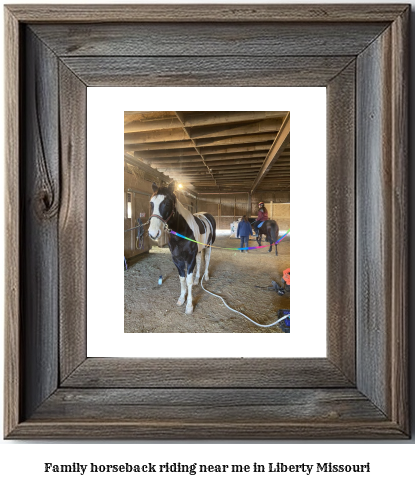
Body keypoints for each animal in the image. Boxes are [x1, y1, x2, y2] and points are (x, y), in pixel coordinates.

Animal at [148, 181, 218, 314]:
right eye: (151, 203)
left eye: (167, 203)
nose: (153, 233)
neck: (182, 232)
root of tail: (207, 215)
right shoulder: (177, 259)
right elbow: (182, 279)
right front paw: (181, 299)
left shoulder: (190, 258)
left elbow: (188, 280)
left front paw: (189, 306)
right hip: (198, 251)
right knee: (200, 262)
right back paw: (197, 280)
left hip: (208, 246)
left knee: (207, 260)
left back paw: (206, 277)